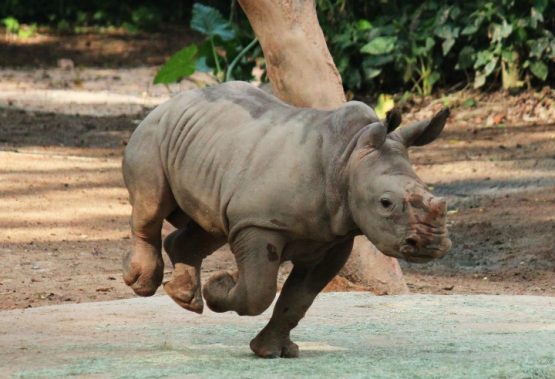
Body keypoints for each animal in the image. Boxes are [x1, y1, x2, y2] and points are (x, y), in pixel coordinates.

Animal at [121, 82, 452, 360]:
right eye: (385, 203)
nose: (429, 244)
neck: (346, 157)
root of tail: (171, 102)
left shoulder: (333, 240)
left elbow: (298, 299)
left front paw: (271, 351)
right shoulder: (259, 223)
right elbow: (258, 292)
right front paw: (221, 287)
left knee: (209, 227)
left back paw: (185, 298)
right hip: (153, 135)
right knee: (152, 207)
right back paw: (142, 284)